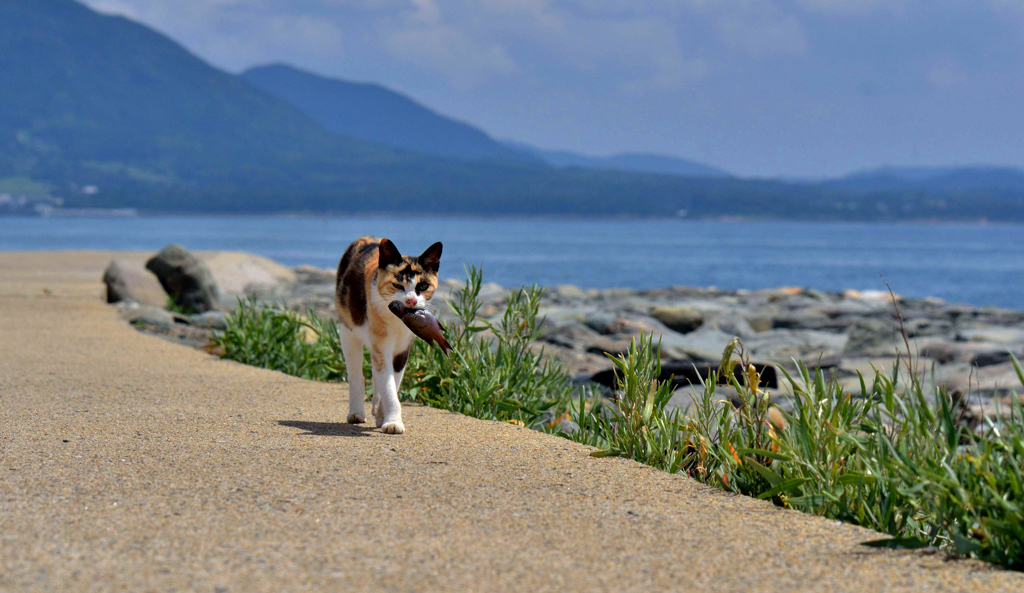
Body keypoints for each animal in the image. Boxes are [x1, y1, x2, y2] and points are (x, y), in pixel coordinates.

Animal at [333, 237, 442, 436]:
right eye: (397, 285)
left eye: (423, 286)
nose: (411, 300)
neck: (398, 320)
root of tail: (365, 238)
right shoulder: (381, 347)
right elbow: (389, 388)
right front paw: (393, 423)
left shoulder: (402, 350)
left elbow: (392, 383)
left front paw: (384, 416)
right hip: (348, 333)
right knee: (356, 375)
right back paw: (356, 413)